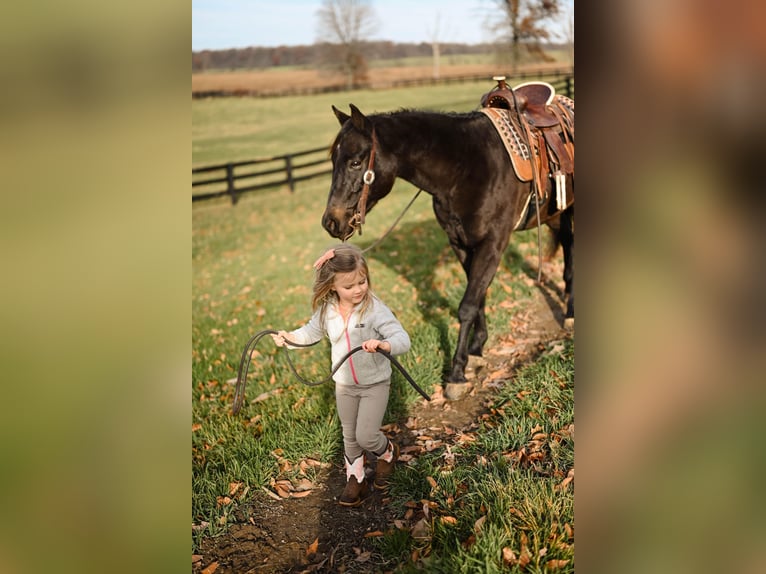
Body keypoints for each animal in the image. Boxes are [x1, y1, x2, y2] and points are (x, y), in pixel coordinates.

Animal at [324, 104, 576, 388]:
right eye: (333, 161)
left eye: (355, 162)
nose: (331, 221)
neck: (465, 168)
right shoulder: (460, 243)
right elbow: (478, 295)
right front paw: (477, 348)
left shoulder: (493, 243)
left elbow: (467, 305)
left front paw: (457, 373)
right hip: (554, 214)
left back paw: (569, 312)